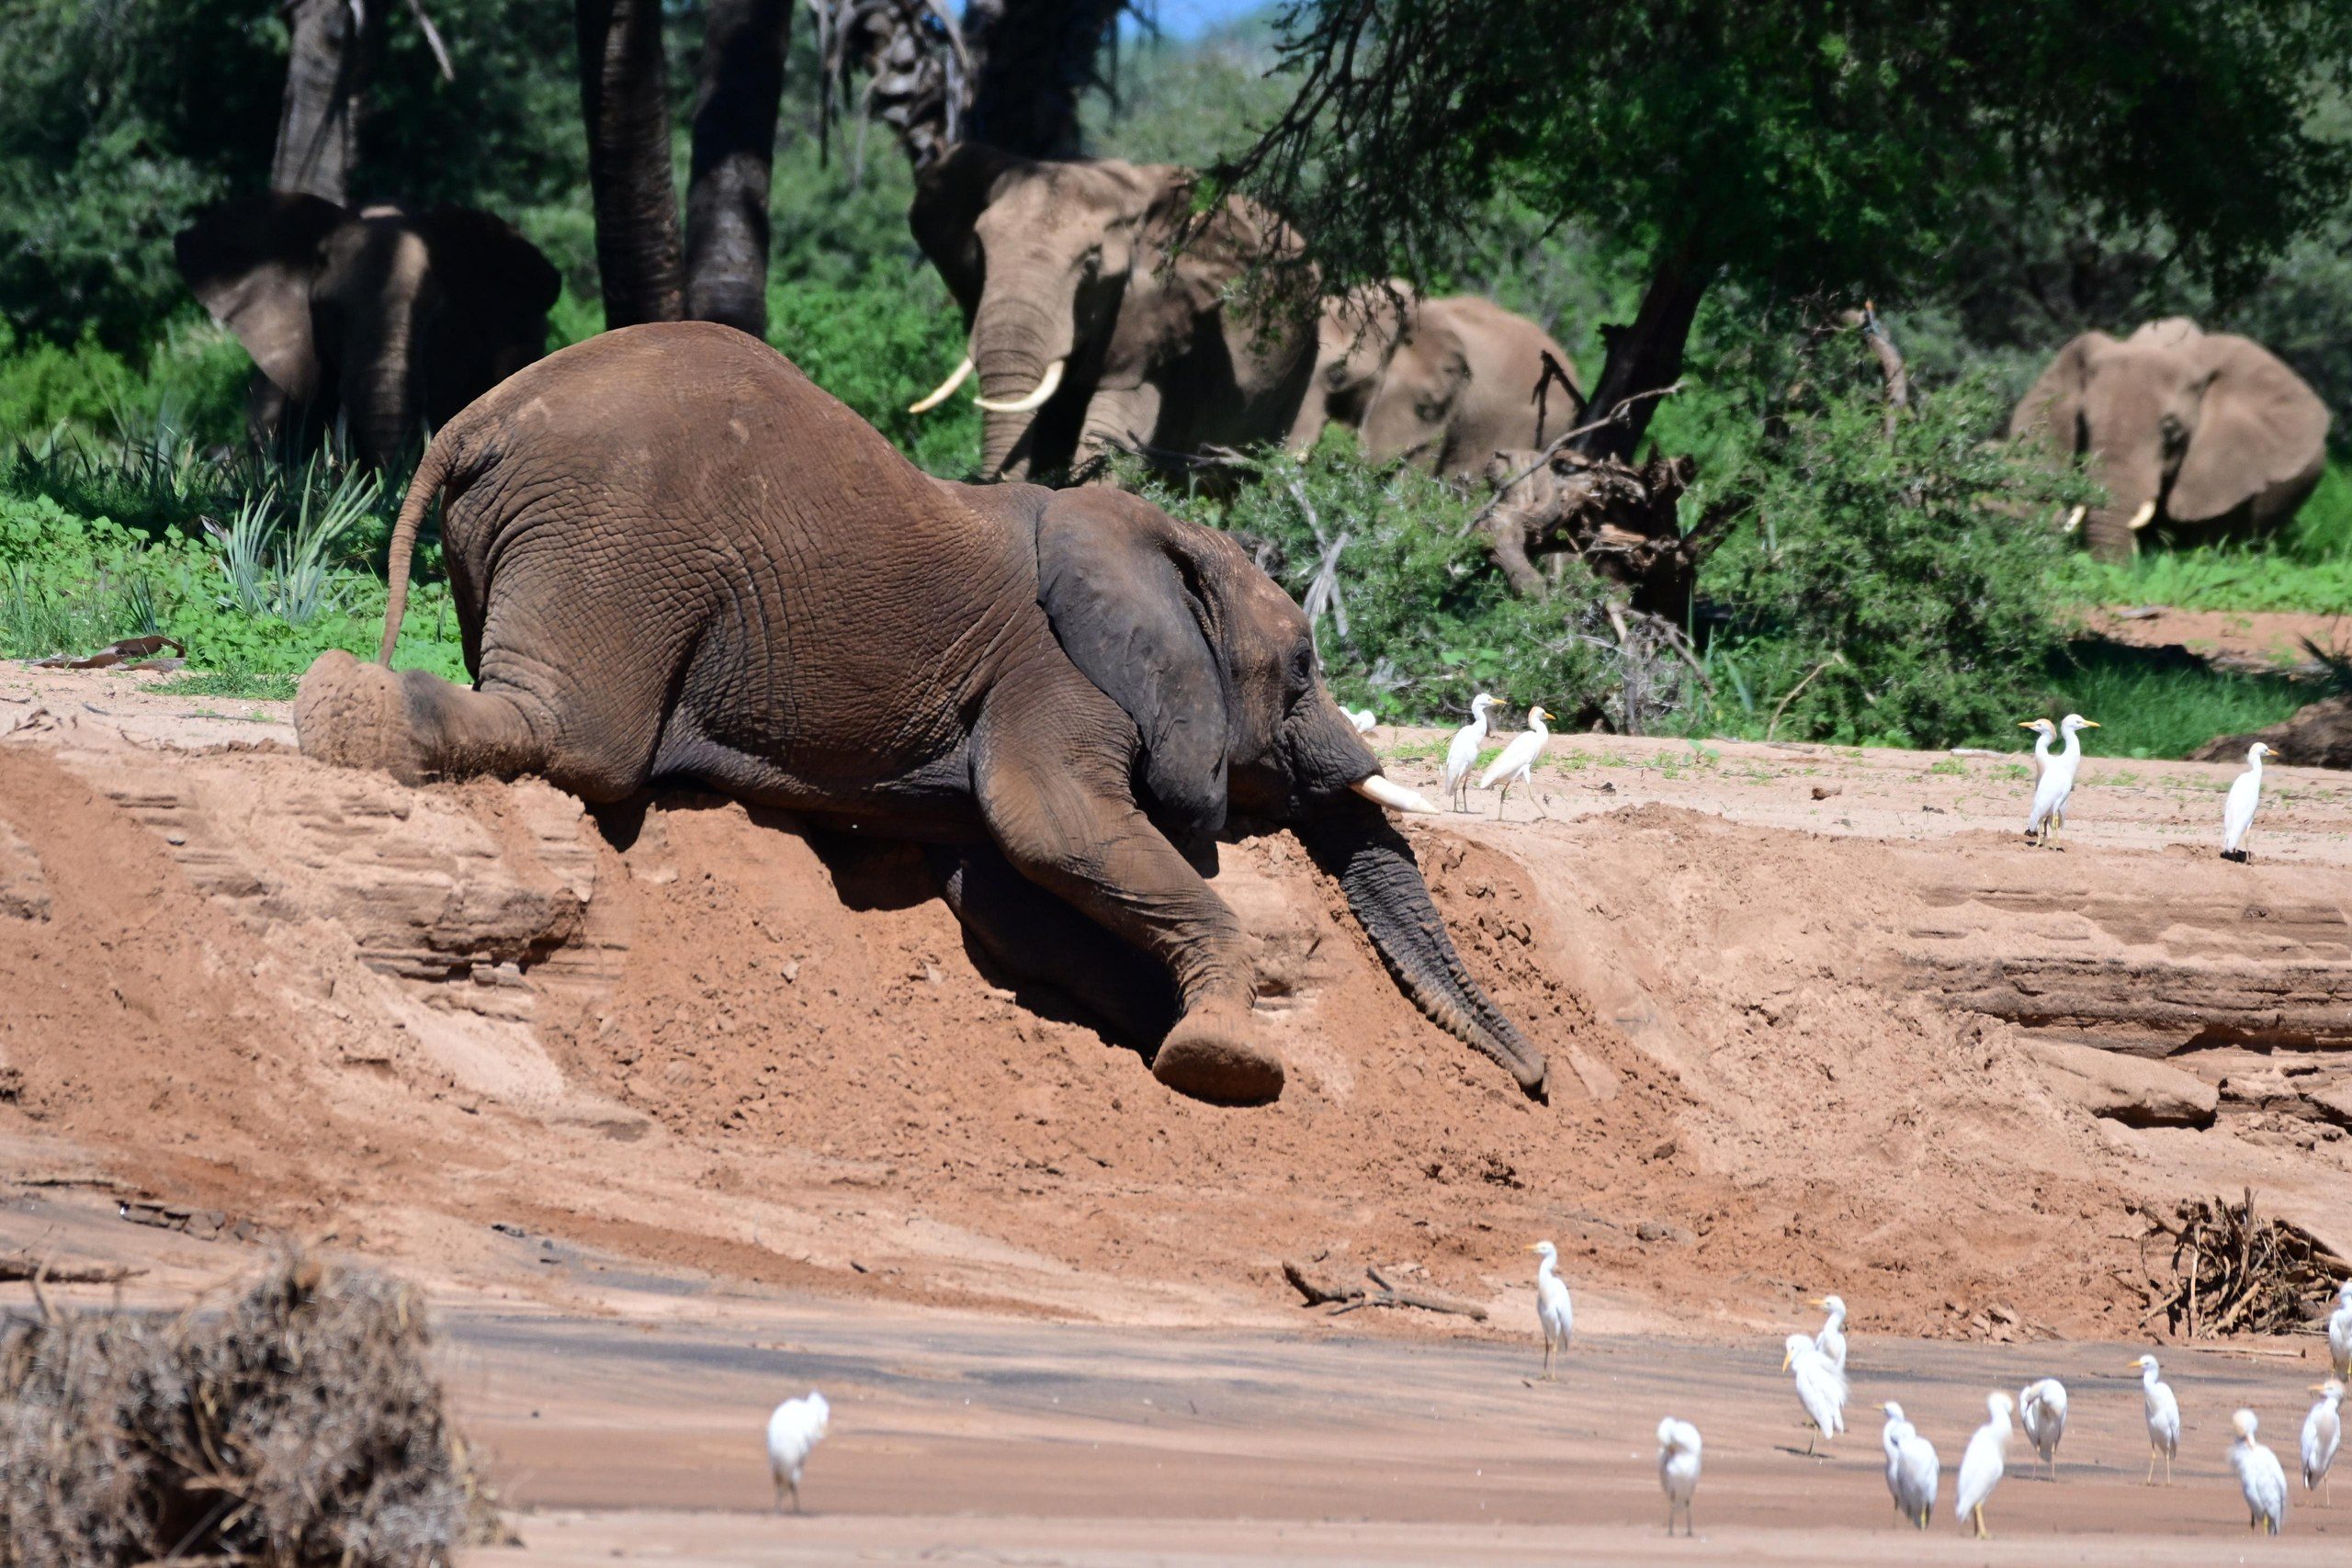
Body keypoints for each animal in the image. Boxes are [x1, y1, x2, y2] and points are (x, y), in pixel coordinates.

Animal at [293, 322, 1546, 1109]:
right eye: (1301, 669)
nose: (1537, 1080)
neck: (1144, 534)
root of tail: (480, 415)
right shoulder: (1051, 675)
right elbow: (1054, 832)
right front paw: (1223, 1063)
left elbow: (1013, 889)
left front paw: (1164, 1028)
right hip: (615, 529)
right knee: (577, 736)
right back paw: (342, 714)